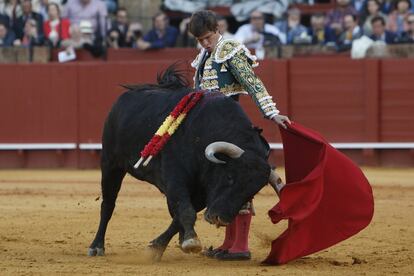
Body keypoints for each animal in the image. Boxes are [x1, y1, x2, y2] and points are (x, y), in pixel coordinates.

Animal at [87, 68, 278, 260]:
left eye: (253, 191)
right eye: (230, 177)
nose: (219, 218)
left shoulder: (202, 191)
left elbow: (179, 215)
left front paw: (159, 246)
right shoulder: (176, 178)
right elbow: (185, 210)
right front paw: (190, 241)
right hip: (111, 163)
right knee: (108, 205)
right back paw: (96, 247)